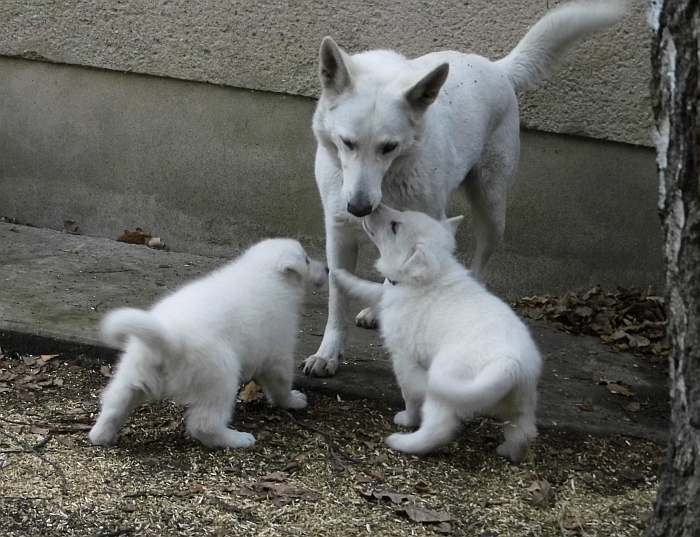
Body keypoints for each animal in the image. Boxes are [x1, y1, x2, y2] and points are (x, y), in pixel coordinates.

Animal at [89, 239, 326, 448]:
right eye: (306, 259)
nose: (327, 268)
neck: (264, 271)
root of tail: (170, 341)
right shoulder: (278, 351)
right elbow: (280, 384)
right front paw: (293, 400)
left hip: (134, 372)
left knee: (113, 404)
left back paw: (101, 435)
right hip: (220, 377)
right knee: (204, 425)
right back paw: (237, 439)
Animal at [306, 1, 628, 376]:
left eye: (389, 147)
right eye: (347, 143)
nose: (359, 208)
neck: (388, 178)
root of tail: (497, 68)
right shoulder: (339, 232)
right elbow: (337, 296)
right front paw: (328, 354)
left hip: (492, 209)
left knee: (478, 264)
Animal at [332, 205, 540, 460]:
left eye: (394, 227)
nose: (373, 207)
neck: (431, 275)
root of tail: (509, 363)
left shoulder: (403, 358)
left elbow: (409, 393)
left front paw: (407, 418)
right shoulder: (387, 292)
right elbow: (370, 289)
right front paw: (340, 275)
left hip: (446, 385)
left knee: (439, 428)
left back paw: (403, 442)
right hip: (521, 400)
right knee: (523, 430)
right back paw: (510, 450)